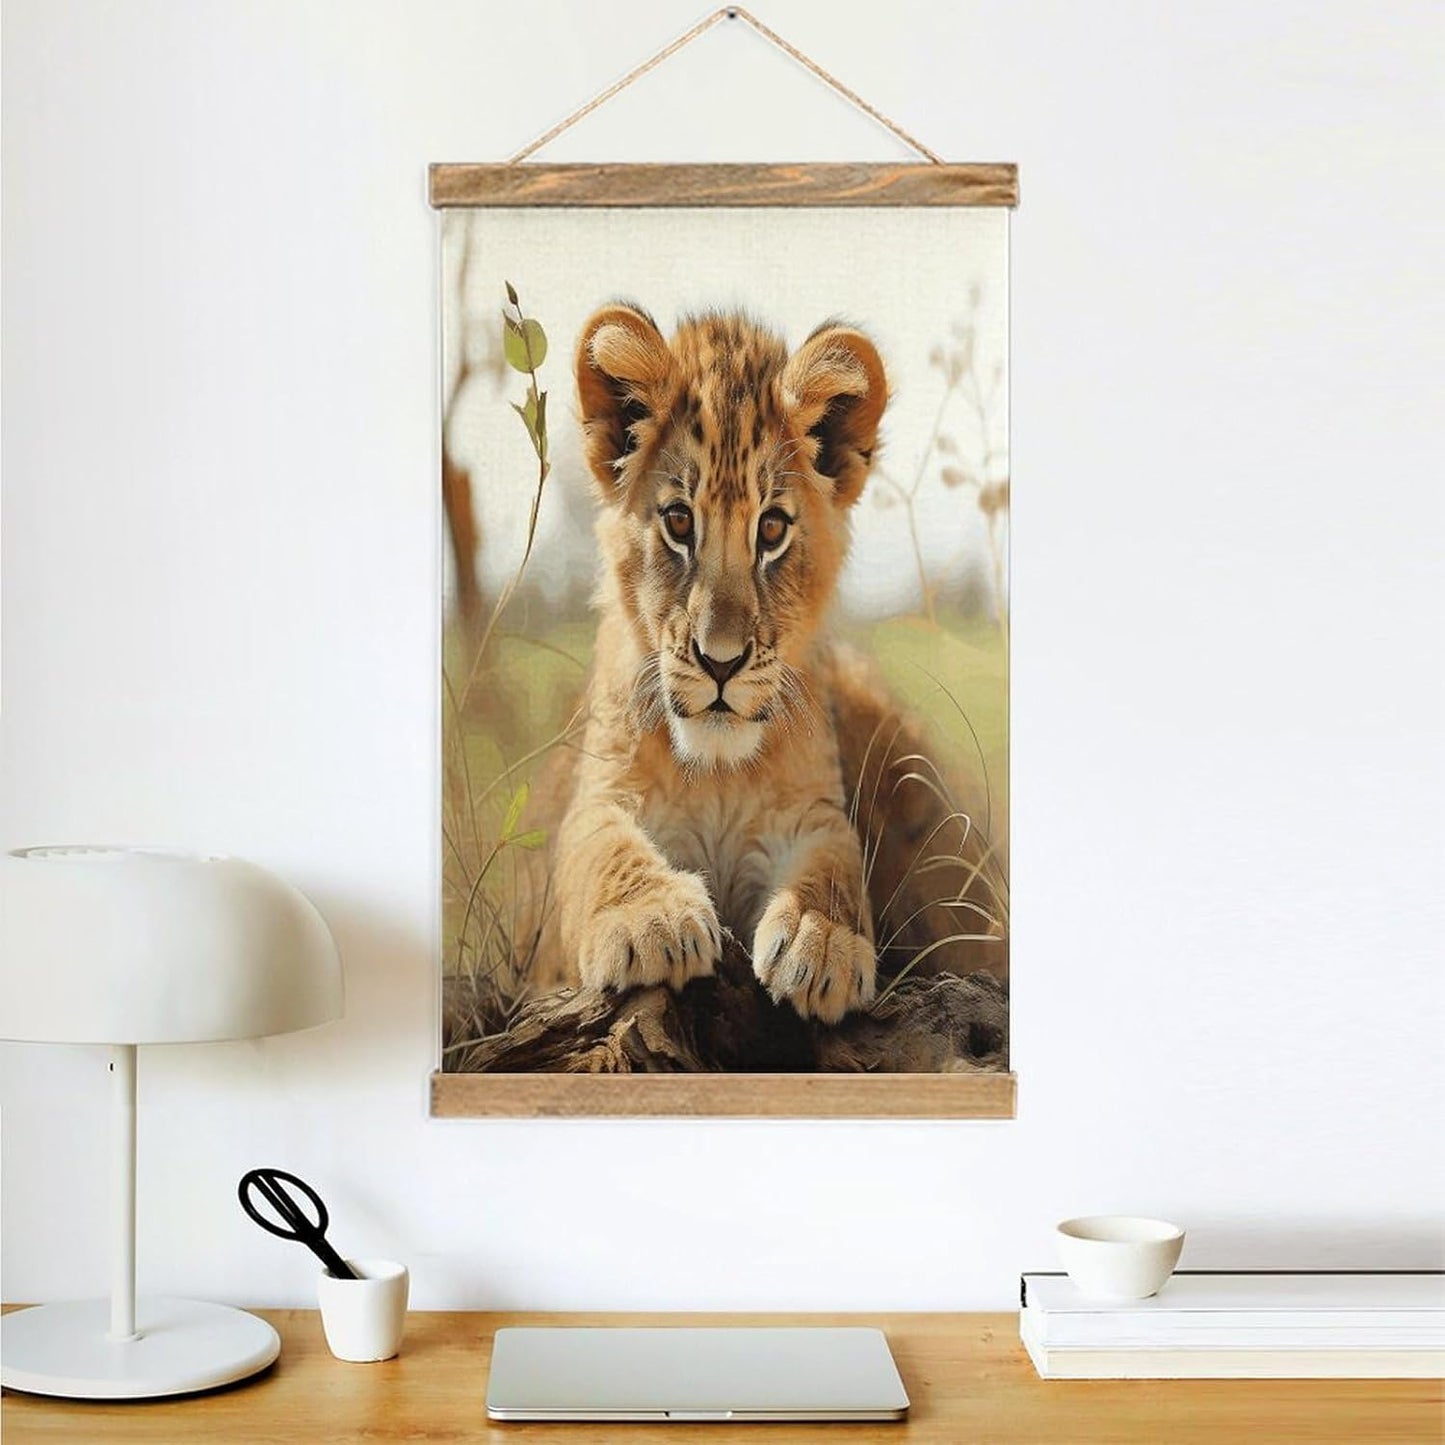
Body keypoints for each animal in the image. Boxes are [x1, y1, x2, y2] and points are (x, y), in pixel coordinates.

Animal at [539, 304, 1003, 1025]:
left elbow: (835, 866)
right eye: (678, 521)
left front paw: (823, 943)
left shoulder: (813, 811)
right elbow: (599, 847)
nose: (720, 662)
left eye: (772, 529)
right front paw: (650, 919)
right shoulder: (597, 795)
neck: (717, 774)